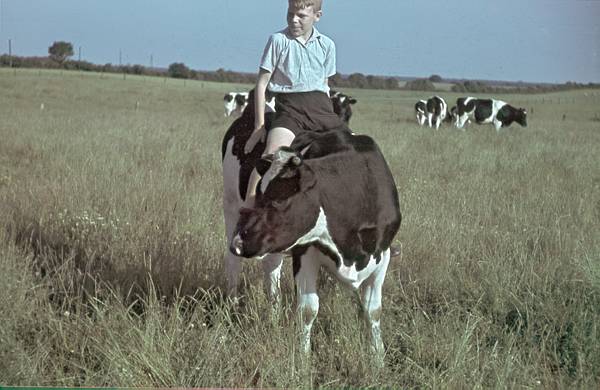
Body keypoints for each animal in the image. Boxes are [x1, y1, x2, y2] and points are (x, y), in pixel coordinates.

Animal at [230, 129, 404, 362]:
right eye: (258, 193)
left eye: (280, 199)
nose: (238, 242)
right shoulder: (304, 253)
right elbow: (307, 310)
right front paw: (303, 359)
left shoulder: (382, 254)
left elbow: (373, 310)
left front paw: (378, 358)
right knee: (265, 276)